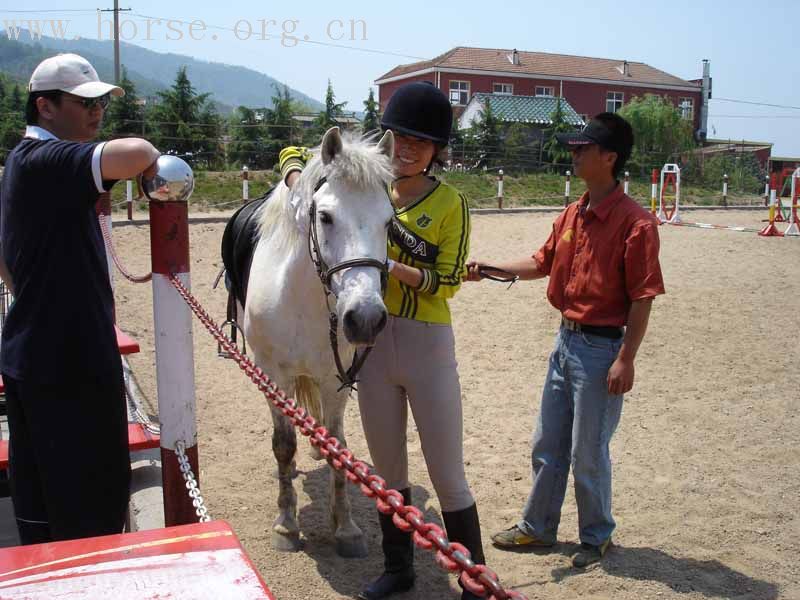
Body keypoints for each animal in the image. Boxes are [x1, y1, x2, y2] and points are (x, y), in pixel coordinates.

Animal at [244, 127, 394, 556]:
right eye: (325, 217)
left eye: (389, 222)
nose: (365, 318)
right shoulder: (272, 373)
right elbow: (282, 444)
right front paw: (286, 523)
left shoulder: (335, 379)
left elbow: (338, 446)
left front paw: (345, 527)